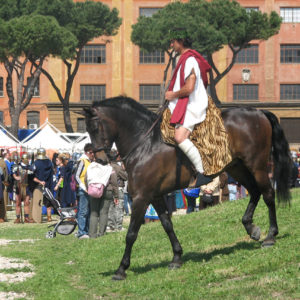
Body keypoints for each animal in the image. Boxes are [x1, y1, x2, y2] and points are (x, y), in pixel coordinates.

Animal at [83, 95, 292, 278]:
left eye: (95, 127)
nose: (100, 159)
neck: (145, 144)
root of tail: (258, 111)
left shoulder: (141, 198)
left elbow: (131, 233)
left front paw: (121, 269)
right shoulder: (155, 196)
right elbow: (167, 225)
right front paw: (176, 257)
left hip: (257, 166)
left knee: (268, 194)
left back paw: (270, 236)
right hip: (237, 167)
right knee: (255, 192)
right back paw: (251, 227)